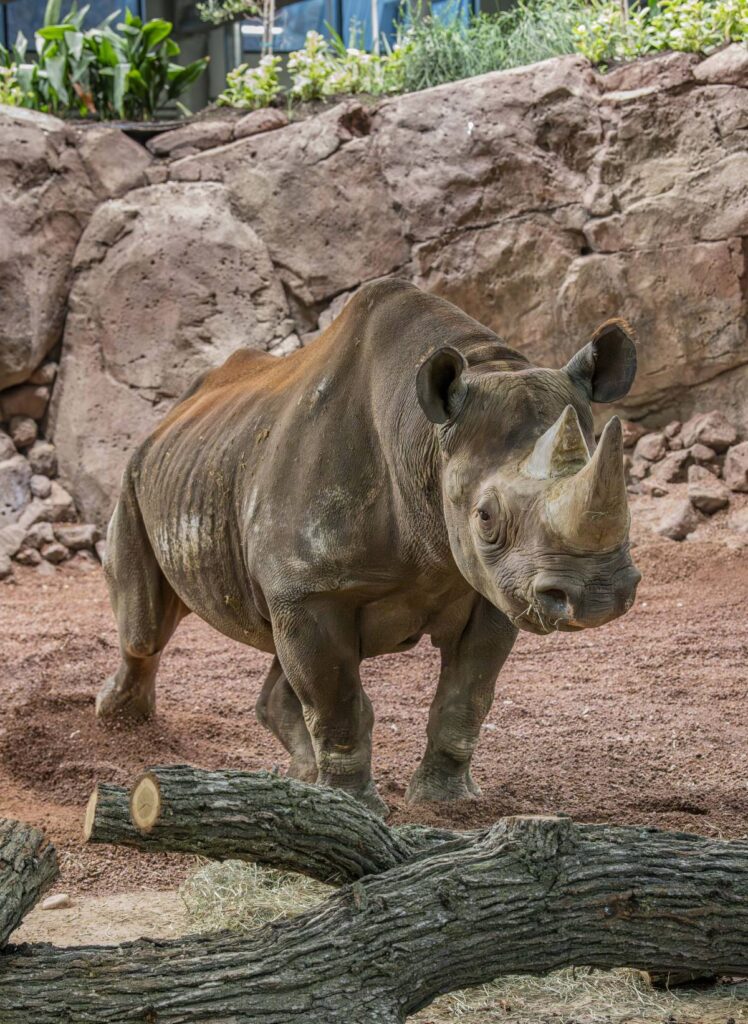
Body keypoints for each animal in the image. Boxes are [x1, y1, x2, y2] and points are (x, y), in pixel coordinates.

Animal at [98, 278, 640, 815]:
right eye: (485, 517)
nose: (598, 597)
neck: (424, 438)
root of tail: (172, 414)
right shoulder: (312, 588)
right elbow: (336, 702)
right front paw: (350, 807)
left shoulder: (493, 588)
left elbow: (467, 695)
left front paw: (445, 802)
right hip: (135, 476)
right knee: (144, 628)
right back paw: (119, 720)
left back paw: (300, 776)